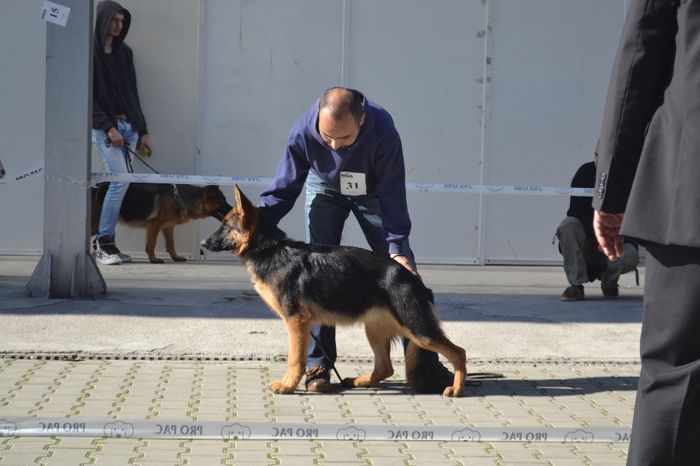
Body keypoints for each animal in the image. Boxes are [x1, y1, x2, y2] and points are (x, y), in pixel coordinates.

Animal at [90, 181, 231, 262]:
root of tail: (93, 188)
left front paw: (175, 257)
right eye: (223, 201)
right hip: (95, 223)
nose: (233, 209)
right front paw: (153, 259)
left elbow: (171, 244)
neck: (179, 198)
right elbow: (151, 244)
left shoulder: (167, 227)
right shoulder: (154, 225)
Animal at [202, 186, 464, 396]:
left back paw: (456, 388)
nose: (203, 244)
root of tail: (411, 277)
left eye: (225, 226)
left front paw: (287, 385)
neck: (270, 249)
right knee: (385, 367)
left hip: (416, 329)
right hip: (376, 329)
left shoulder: (296, 322)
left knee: (458, 352)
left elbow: (295, 359)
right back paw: (359, 381)